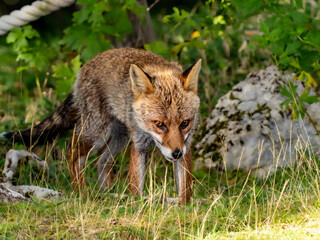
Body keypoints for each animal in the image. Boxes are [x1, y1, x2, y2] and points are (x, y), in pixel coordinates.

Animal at [0, 47, 200, 203]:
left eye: (184, 123)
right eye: (159, 124)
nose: (176, 153)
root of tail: (85, 66)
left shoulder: (186, 143)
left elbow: (185, 188)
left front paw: (183, 206)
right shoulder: (139, 144)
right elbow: (136, 185)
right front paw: (137, 204)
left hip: (119, 137)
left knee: (102, 161)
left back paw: (109, 193)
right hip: (96, 133)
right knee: (71, 152)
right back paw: (81, 191)